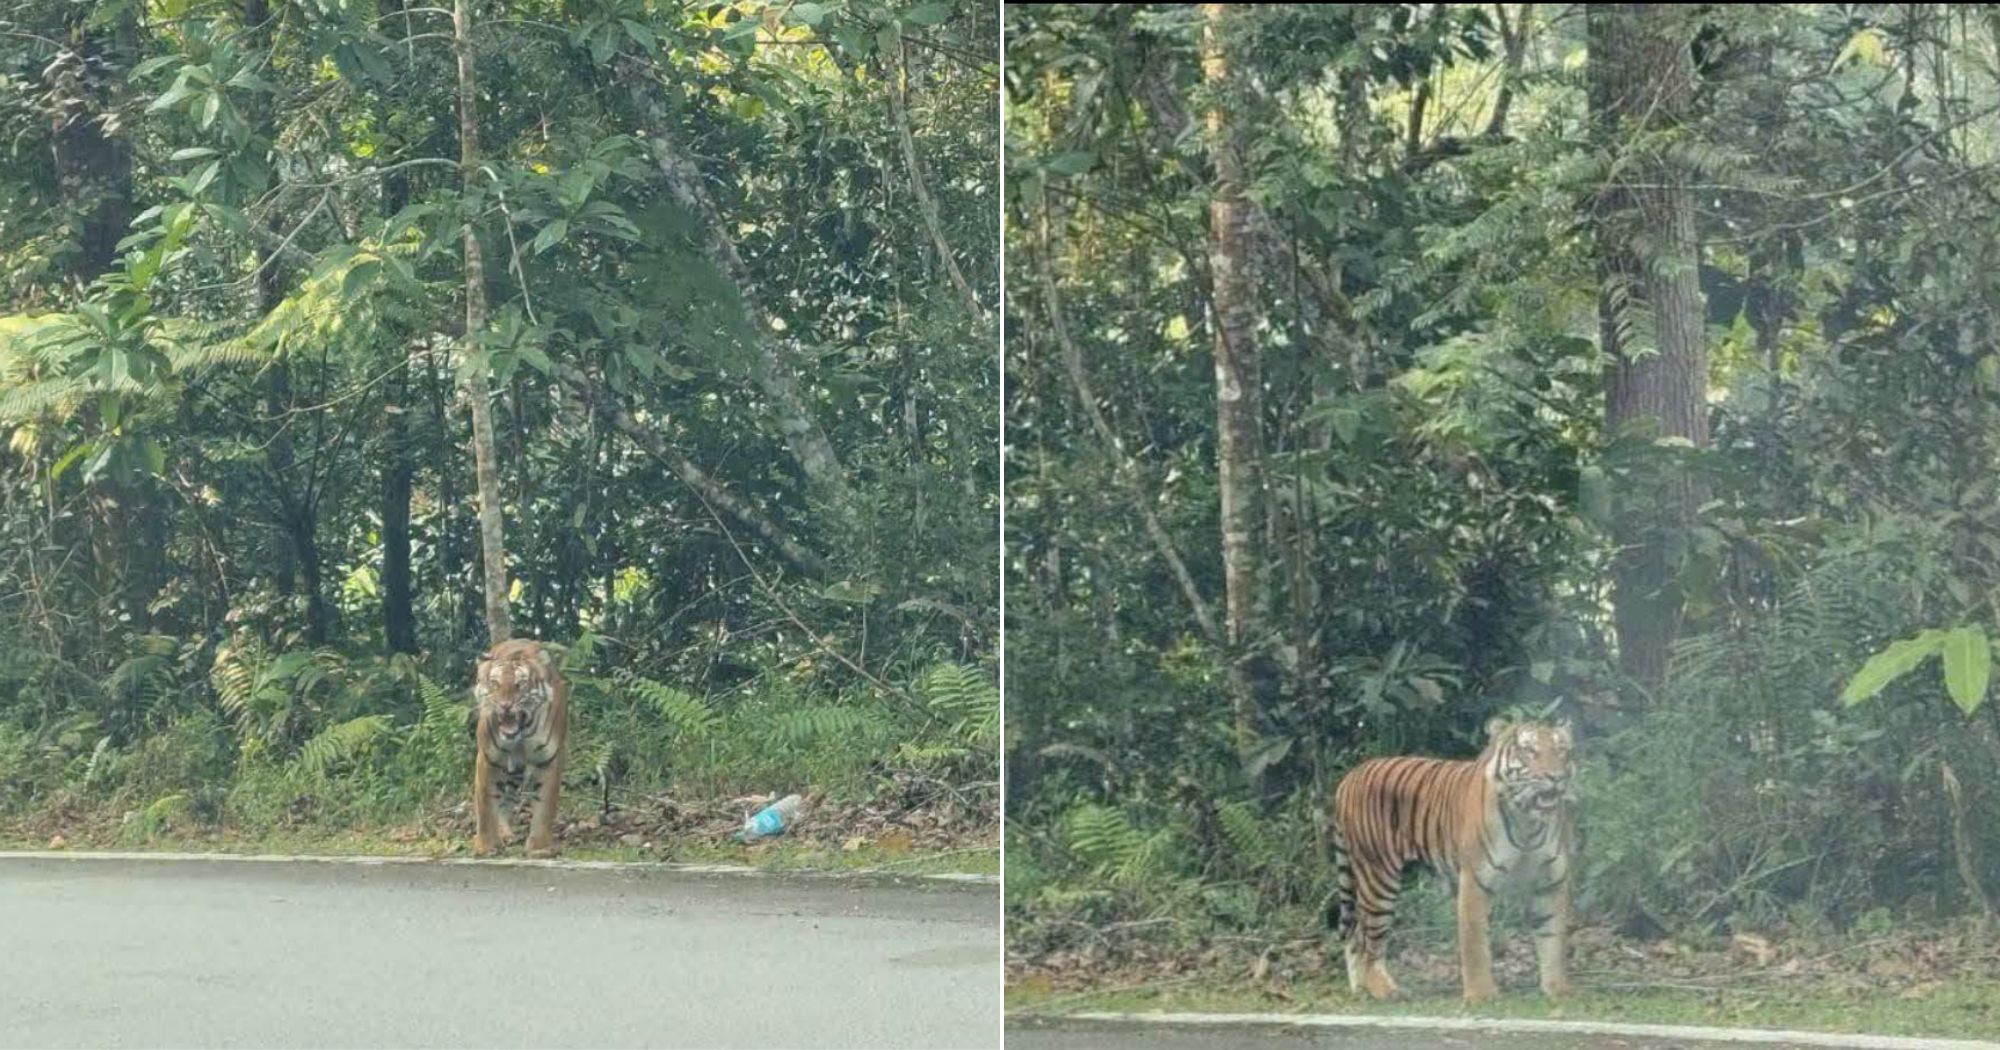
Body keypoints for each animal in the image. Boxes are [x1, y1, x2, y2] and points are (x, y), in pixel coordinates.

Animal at [471, 638, 569, 858]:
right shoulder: (488, 759)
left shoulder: (548, 760)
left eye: (520, 684)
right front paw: (486, 846)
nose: (505, 705)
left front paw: (540, 847)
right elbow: (486, 804)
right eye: (495, 684)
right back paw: (504, 834)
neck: (521, 735)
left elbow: (545, 806)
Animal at [1325, 716, 1576, 1003]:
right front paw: (1481, 995)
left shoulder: (1550, 883)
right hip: (1378, 877)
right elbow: (1475, 943)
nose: (1556, 778)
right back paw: (1383, 990)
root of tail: (1351, 775)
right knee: (1370, 939)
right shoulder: (1475, 882)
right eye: (1529, 751)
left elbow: (1553, 938)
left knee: (1356, 933)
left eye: (1562, 751)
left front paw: (1558, 989)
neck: (1528, 823)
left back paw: (1360, 989)